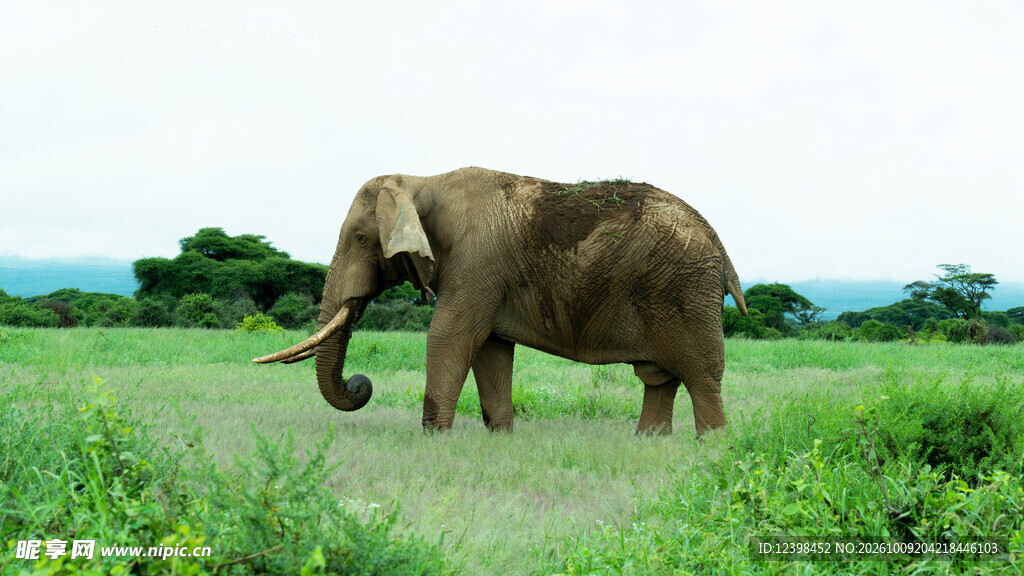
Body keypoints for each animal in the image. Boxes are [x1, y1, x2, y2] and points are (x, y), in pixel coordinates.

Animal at [254, 167, 748, 436]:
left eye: (360, 238)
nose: (360, 384)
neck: (421, 181)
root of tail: (722, 248)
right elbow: (490, 350)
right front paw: (501, 437)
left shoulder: (477, 263)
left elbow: (450, 337)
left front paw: (434, 440)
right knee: (659, 378)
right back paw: (648, 442)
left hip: (683, 290)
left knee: (702, 377)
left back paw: (711, 450)